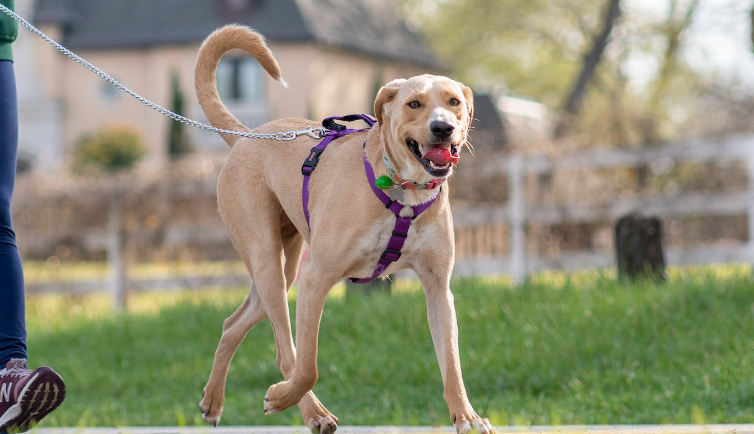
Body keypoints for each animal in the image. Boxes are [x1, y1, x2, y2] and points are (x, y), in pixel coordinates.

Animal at [197, 24, 496, 434]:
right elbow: (308, 365)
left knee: (233, 323)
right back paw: (309, 410)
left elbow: (451, 364)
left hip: (283, 269)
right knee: (285, 353)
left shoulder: (438, 287)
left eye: (453, 102)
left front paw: (466, 417)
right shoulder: (316, 277)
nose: (443, 128)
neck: (403, 192)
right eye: (413, 104)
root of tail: (248, 136)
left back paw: (213, 401)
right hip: (268, 260)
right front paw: (283, 398)